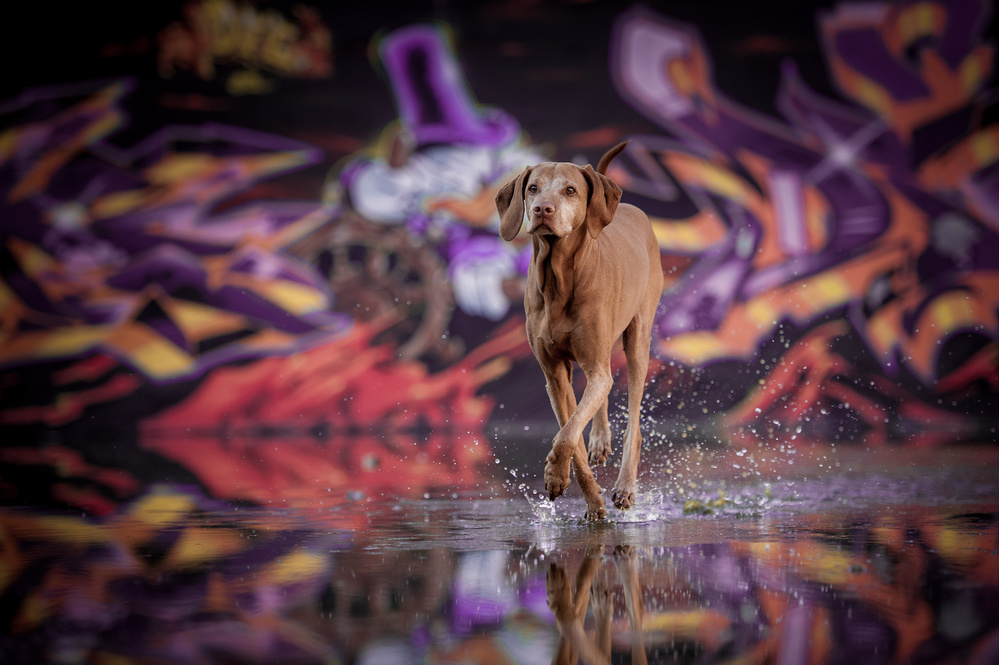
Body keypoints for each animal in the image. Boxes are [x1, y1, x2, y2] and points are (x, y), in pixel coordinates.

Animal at [494, 144, 664, 520]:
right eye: (532, 188)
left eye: (570, 190)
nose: (542, 209)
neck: (559, 277)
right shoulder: (555, 374)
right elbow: (572, 436)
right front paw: (590, 501)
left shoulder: (595, 366)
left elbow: (568, 433)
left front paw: (556, 475)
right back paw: (600, 440)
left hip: (639, 339)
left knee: (634, 420)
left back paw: (625, 486)